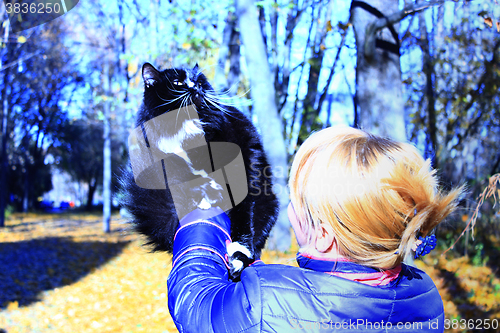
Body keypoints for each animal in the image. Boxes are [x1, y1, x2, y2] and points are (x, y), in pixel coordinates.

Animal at [119, 63, 280, 278]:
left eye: (199, 81)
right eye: (178, 82)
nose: (196, 87)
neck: (184, 126)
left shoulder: (241, 170)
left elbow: (244, 216)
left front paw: (239, 254)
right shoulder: (166, 162)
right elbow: (187, 177)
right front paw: (205, 192)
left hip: (267, 201)